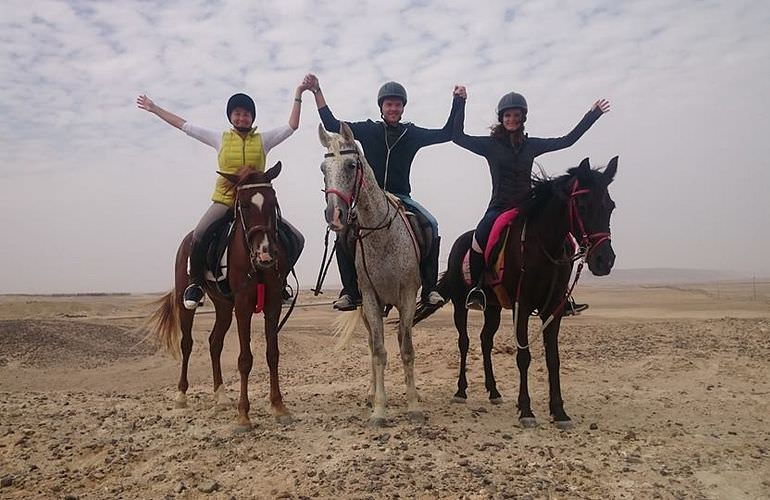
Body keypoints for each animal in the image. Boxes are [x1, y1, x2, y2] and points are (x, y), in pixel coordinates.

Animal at [414, 157, 616, 430]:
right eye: (582, 206)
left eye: (611, 207)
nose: (605, 260)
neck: (543, 246)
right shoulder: (522, 305)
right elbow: (523, 356)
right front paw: (526, 410)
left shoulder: (553, 309)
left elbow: (553, 358)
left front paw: (559, 412)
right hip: (459, 304)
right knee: (464, 342)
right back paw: (461, 391)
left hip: (493, 307)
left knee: (485, 341)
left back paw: (493, 391)